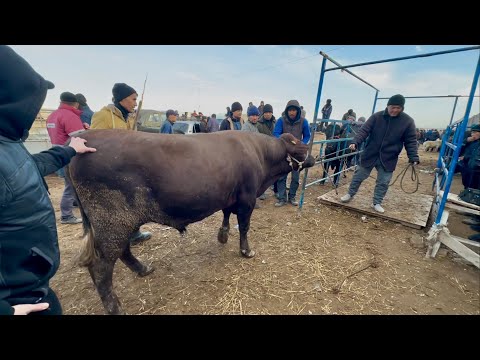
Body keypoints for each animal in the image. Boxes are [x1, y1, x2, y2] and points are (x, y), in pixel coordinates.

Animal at [66, 130, 316, 316]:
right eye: (301, 148)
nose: (314, 157)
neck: (260, 154)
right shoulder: (247, 198)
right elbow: (244, 226)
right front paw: (246, 250)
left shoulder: (230, 196)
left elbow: (226, 214)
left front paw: (223, 235)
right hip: (112, 222)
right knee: (101, 268)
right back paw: (116, 307)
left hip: (119, 223)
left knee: (123, 252)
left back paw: (143, 269)